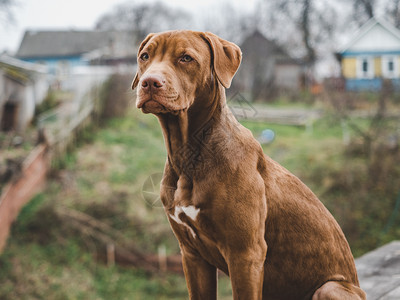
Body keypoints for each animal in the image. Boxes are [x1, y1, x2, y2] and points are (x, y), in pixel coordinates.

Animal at [132, 30, 366, 300]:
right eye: (145, 56)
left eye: (186, 58)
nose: (149, 82)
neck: (189, 153)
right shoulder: (192, 254)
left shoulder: (245, 253)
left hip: (329, 288)